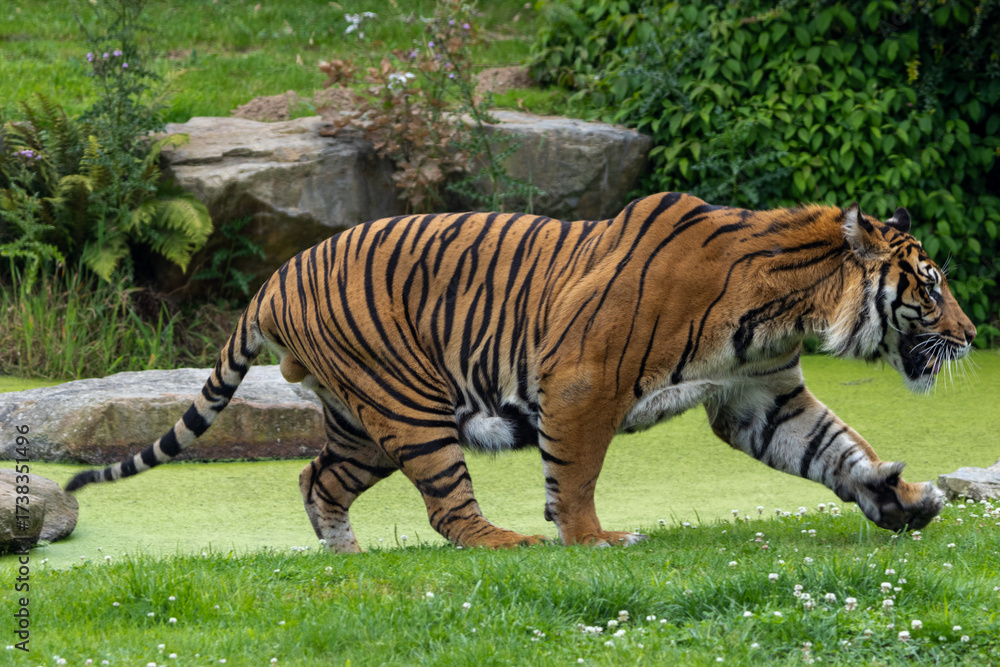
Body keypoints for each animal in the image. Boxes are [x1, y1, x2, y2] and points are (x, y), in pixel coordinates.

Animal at [66, 192, 976, 551]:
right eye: (931, 288)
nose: (971, 335)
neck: (788, 303)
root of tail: (272, 278)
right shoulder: (583, 381)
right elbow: (574, 474)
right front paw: (592, 539)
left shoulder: (760, 394)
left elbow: (835, 447)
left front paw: (901, 497)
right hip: (414, 408)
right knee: (448, 509)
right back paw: (508, 541)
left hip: (363, 423)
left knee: (314, 480)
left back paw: (347, 558)